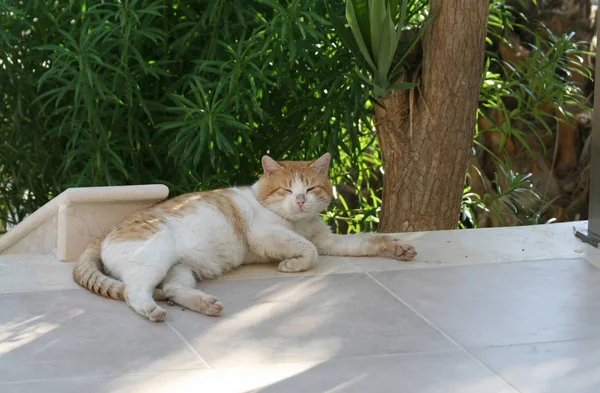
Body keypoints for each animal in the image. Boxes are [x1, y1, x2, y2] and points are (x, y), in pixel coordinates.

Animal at [72, 153, 414, 322]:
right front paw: (291, 264)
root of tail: (105, 232)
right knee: (134, 292)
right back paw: (152, 311)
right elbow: (308, 251)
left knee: (172, 289)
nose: (300, 200)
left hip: (179, 268)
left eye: (310, 188)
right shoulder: (265, 235)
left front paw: (398, 247)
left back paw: (206, 304)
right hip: (155, 255)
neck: (299, 222)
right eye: (287, 190)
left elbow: (367, 240)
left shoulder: (328, 240)